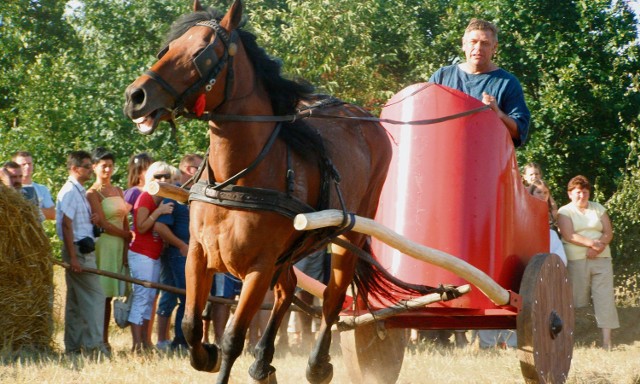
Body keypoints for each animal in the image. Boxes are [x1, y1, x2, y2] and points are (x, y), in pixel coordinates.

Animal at [123, 1, 442, 382]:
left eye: (202, 50)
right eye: (168, 46)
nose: (136, 96)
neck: (233, 183)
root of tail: (365, 119)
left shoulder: (259, 267)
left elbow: (233, 337)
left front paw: (223, 354)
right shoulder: (198, 254)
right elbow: (190, 326)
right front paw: (208, 354)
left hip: (347, 234)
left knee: (332, 300)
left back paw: (317, 364)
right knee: (288, 290)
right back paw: (263, 361)